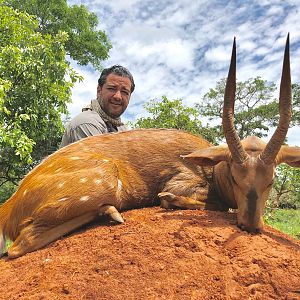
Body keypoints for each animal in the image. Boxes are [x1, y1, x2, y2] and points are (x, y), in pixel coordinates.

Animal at [0, 35, 300, 258]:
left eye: (271, 181)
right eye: (236, 178)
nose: (252, 225)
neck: (213, 169)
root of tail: (8, 207)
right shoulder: (182, 181)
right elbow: (210, 204)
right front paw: (170, 200)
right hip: (105, 180)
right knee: (19, 245)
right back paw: (111, 212)